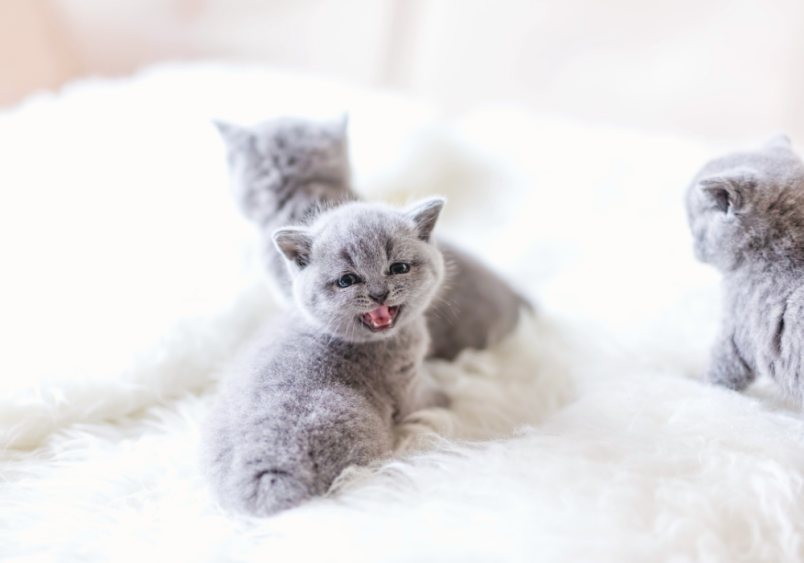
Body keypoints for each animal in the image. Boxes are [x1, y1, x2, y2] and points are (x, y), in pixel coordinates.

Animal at [201, 197, 450, 516]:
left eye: (399, 267)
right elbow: (420, 400)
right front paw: (444, 396)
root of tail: (266, 474)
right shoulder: (403, 381)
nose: (379, 294)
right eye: (347, 280)